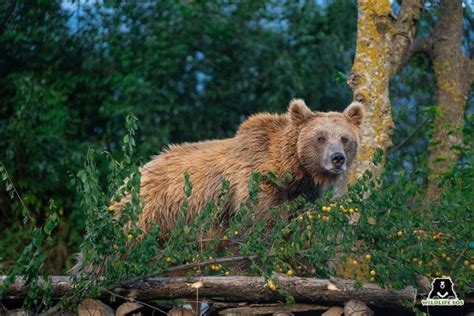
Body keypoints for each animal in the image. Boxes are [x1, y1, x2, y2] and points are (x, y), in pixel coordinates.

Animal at [113, 99, 364, 237]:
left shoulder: (302, 193)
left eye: (345, 138)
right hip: (149, 210)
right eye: (320, 138)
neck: (290, 170)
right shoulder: (255, 184)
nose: (337, 159)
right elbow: (256, 223)